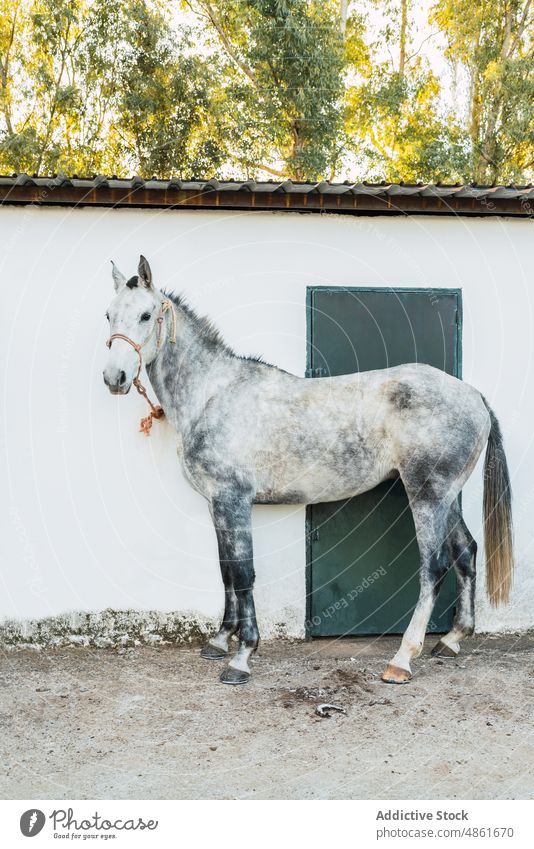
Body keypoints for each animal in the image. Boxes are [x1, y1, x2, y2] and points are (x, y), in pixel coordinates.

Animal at [103, 255, 516, 684]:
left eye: (146, 314)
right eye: (109, 314)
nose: (114, 378)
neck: (213, 395)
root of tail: (472, 395)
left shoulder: (234, 500)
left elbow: (244, 574)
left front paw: (242, 656)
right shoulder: (217, 504)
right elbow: (227, 570)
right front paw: (219, 642)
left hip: (427, 495)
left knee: (433, 566)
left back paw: (402, 659)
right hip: (445, 496)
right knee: (465, 551)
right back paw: (450, 640)